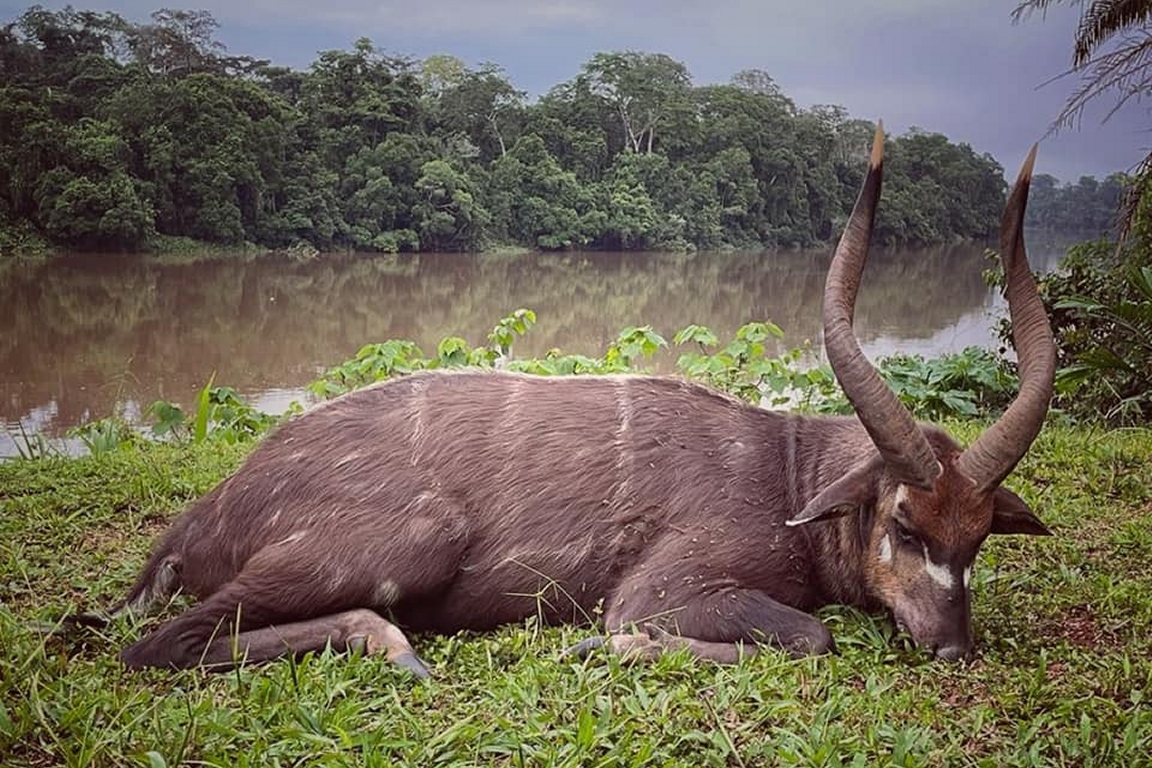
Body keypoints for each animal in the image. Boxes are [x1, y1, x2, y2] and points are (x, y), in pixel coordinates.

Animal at [87, 123, 1055, 677]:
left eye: (978, 537)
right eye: (903, 523)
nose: (952, 646)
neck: (787, 477)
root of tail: (202, 517)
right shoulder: (667, 588)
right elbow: (807, 638)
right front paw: (605, 644)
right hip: (420, 536)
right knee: (157, 645)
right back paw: (393, 647)